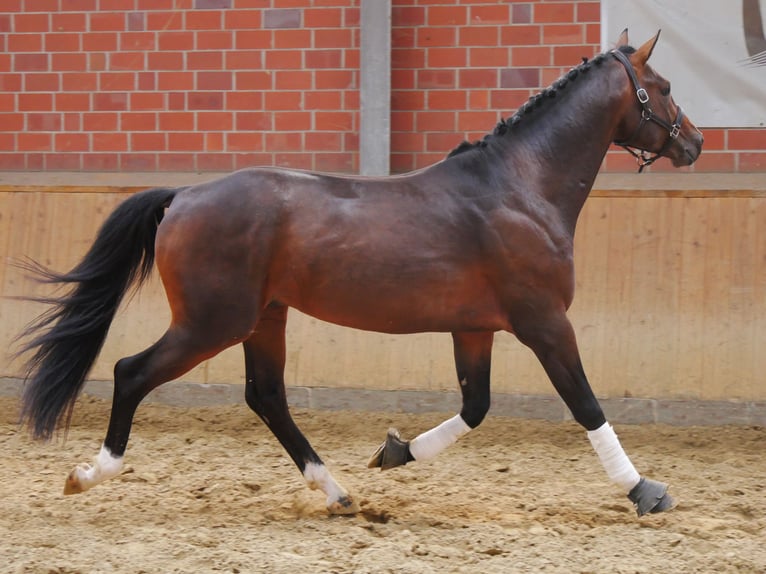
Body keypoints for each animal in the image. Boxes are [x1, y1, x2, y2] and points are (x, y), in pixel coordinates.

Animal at [16, 29, 704, 520]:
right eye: (666, 85)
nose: (694, 143)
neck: (520, 187)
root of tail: (183, 197)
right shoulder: (545, 323)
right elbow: (585, 404)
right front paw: (645, 490)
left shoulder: (474, 328)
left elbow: (476, 407)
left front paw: (394, 452)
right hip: (212, 323)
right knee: (132, 373)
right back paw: (89, 474)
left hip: (264, 319)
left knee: (266, 397)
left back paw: (339, 493)